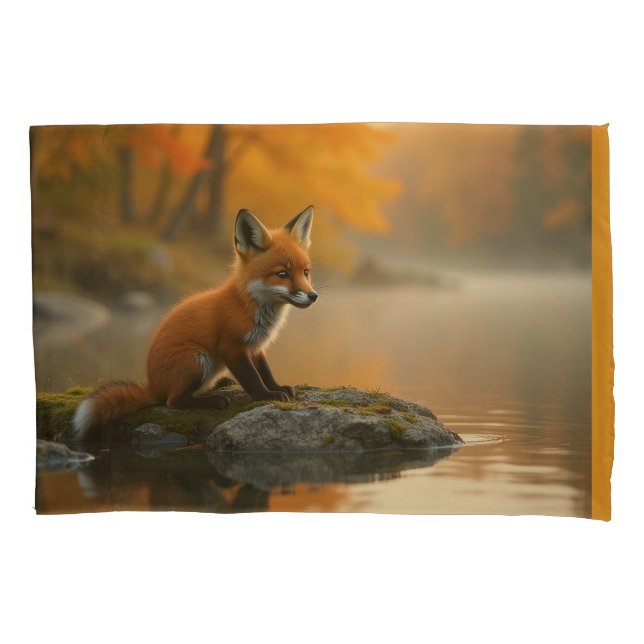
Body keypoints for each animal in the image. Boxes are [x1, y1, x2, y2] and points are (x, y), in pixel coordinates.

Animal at [71, 205, 317, 440]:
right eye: (283, 274)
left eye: (305, 272)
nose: (313, 296)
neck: (249, 306)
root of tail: (152, 385)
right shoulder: (231, 347)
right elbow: (252, 378)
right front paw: (266, 396)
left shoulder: (256, 347)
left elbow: (265, 371)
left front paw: (276, 387)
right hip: (198, 359)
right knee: (173, 401)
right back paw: (213, 400)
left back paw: (219, 384)